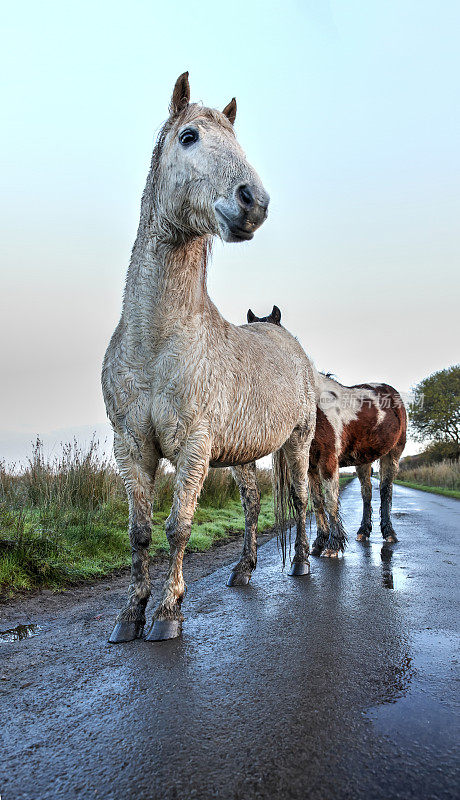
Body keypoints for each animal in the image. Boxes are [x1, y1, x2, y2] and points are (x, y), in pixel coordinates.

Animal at [226, 310, 406, 584]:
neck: (315, 406)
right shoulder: (310, 465)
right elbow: (317, 502)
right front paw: (319, 543)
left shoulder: (328, 461)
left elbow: (331, 501)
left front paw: (333, 544)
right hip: (363, 460)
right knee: (366, 492)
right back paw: (363, 531)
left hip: (392, 454)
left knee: (386, 490)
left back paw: (389, 533)